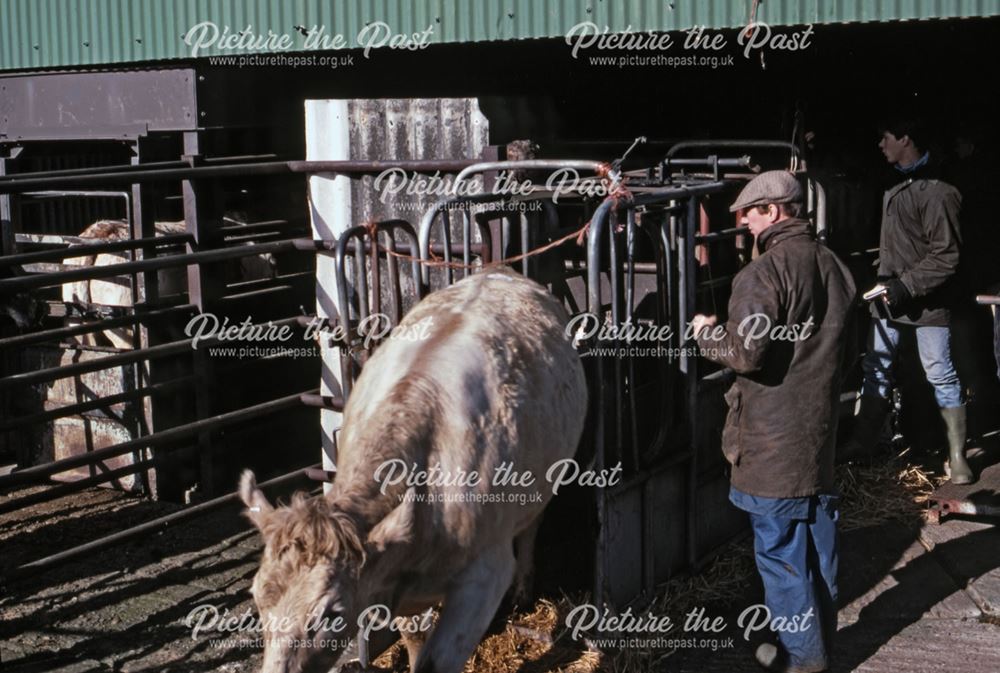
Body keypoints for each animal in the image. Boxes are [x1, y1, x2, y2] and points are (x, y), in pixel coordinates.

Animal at [239, 266, 588, 672]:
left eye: (331, 615)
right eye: (257, 598)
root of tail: (500, 270)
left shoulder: (486, 572)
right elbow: (415, 636)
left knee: (532, 524)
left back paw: (523, 586)